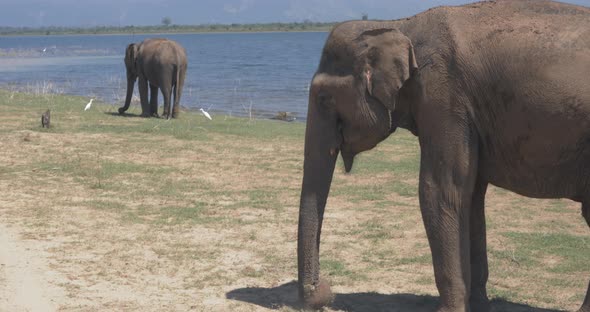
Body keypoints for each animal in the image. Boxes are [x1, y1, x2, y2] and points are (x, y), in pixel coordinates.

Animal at [300, 0, 590, 312]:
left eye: (323, 99)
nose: (324, 291)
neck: (400, 25)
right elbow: (470, 197)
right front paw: (478, 305)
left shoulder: (444, 96)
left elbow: (440, 191)